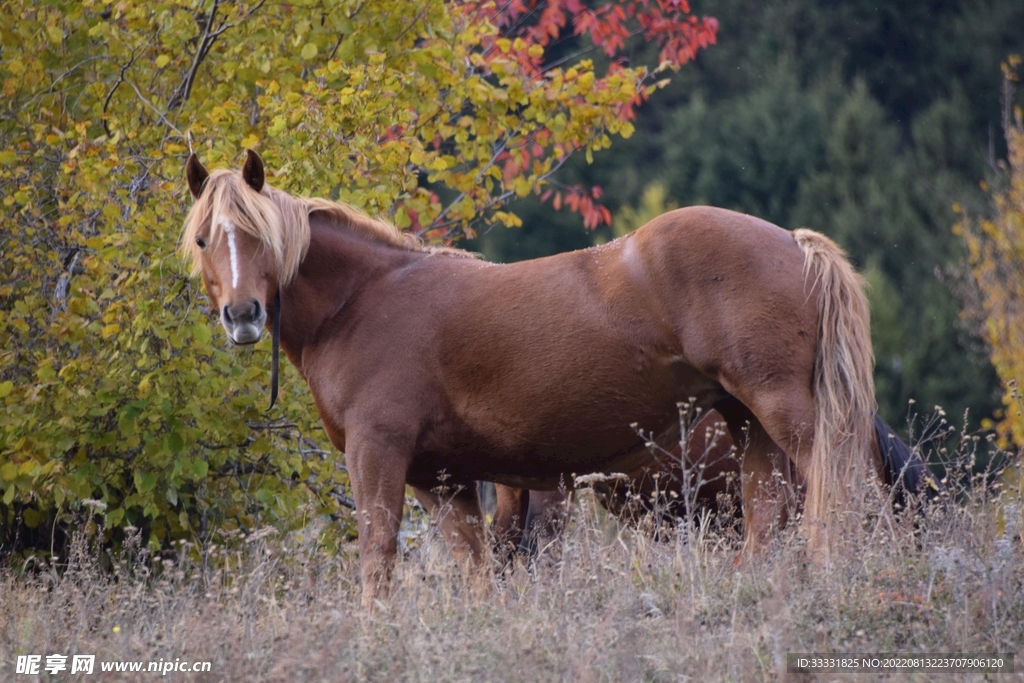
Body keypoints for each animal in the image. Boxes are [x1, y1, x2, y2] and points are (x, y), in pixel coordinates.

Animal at [180, 150, 926, 607]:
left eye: (259, 236)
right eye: (204, 239)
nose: (242, 315)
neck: (366, 298)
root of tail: (793, 243)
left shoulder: (378, 454)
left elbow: (376, 560)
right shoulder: (441, 479)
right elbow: (477, 573)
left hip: (786, 412)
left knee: (843, 490)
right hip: (748, 424)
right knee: (768, 514)